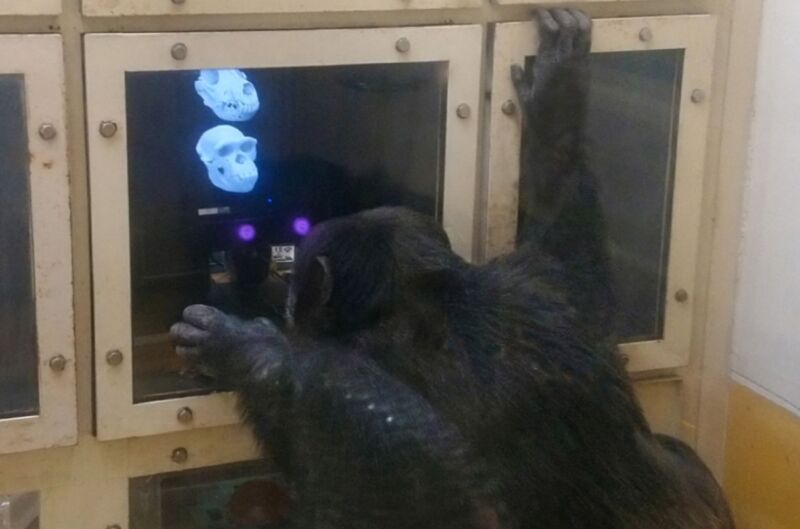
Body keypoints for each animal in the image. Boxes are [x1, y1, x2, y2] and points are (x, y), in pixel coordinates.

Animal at [172, 9, 736, 528]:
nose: (288, 304)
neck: (433, 300)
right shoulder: (547, 285)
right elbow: (567, 222)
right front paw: (557, 88)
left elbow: (388, 454)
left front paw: (244, 346)